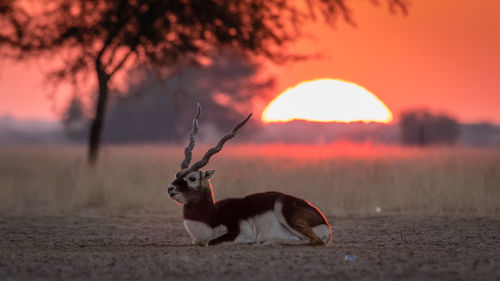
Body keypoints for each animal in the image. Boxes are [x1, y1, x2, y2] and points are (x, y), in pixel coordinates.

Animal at [169, 103, 332, 245]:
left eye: (192, 178)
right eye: (177, 174)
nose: (170, 189)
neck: (211, 217)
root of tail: (324, 222)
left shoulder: (241, 234)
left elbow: (211, 242)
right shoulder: (197, 240)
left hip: (283, 211)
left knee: (313, 240)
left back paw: (266, 242)